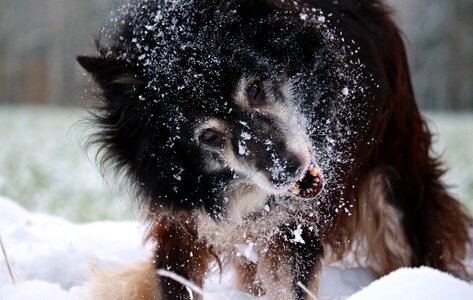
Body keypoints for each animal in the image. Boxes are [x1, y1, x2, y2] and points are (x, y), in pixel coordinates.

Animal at [76, 0, 468, 298]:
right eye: (208, 137)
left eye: (254, 89)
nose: (286, 170)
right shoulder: (182, 221)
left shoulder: (295, 226)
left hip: (396, 180)